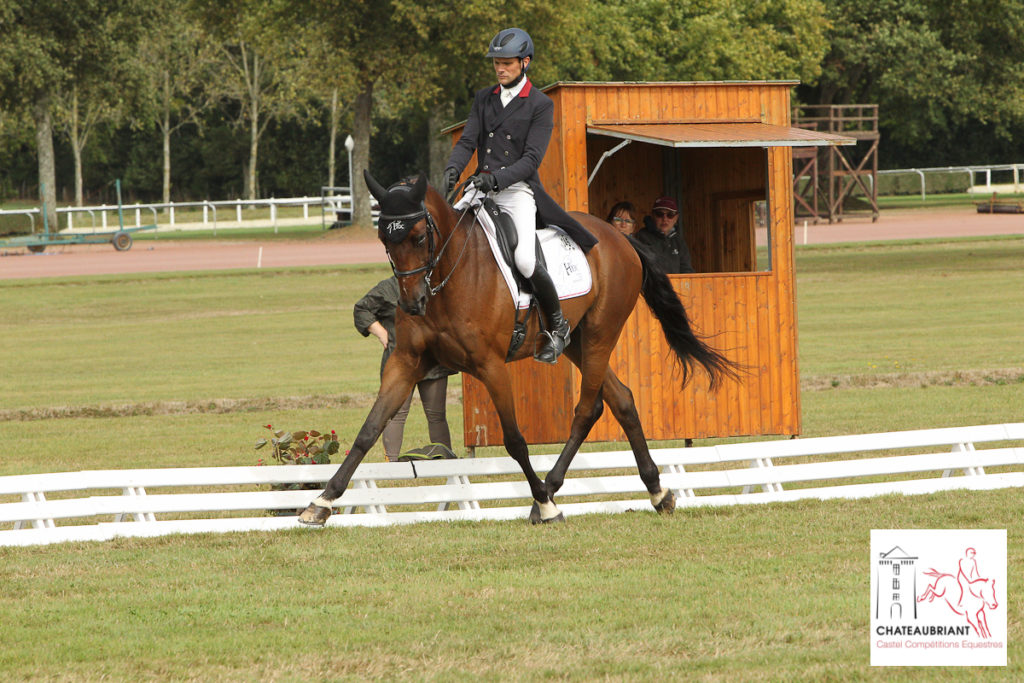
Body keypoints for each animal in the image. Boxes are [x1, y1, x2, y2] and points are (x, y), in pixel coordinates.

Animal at [296, 174, 737, 528]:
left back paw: (551, 493)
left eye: (419, 237)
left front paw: (545, 506)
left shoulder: (491, 366)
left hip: (601, 333)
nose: (412, 303)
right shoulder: (405, 364)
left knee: (586, 409)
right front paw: (321, 502)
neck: (447, 277)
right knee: (621, 400)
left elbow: (514, 439)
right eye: (384, 240)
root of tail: (619, 238)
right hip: (576, 342)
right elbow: (369, 430)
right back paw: (657, 492)